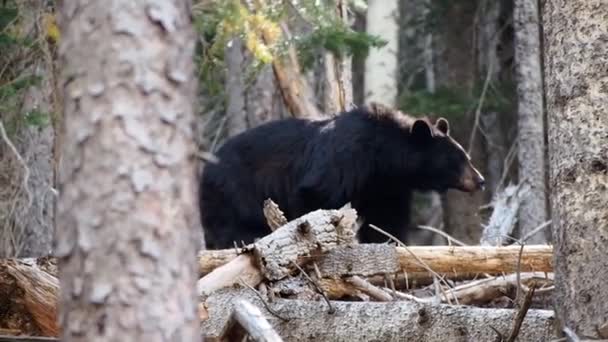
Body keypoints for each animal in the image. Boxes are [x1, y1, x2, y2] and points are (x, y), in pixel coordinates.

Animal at [200, 102, 484, 248]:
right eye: (458, 159)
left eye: (466, 157)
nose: (480, 180)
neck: (383, 157)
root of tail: (206, 166)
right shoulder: (345, 159)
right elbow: (315, 195)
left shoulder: (386, 185)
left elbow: (386, 219)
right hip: (233, 192)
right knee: (231, 228)